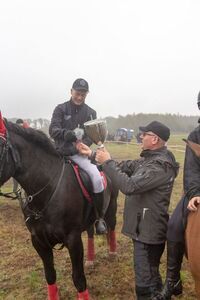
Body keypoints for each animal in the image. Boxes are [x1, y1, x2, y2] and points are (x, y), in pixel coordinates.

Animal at [0, 118, 117, 300]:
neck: (47, 189)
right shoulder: (38, 241)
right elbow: (50, 276)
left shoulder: (73, 239)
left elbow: (78, 279)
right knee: (91, 231)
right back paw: (90, 259)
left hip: (112, 208)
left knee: (111, 226)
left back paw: (112, 252)